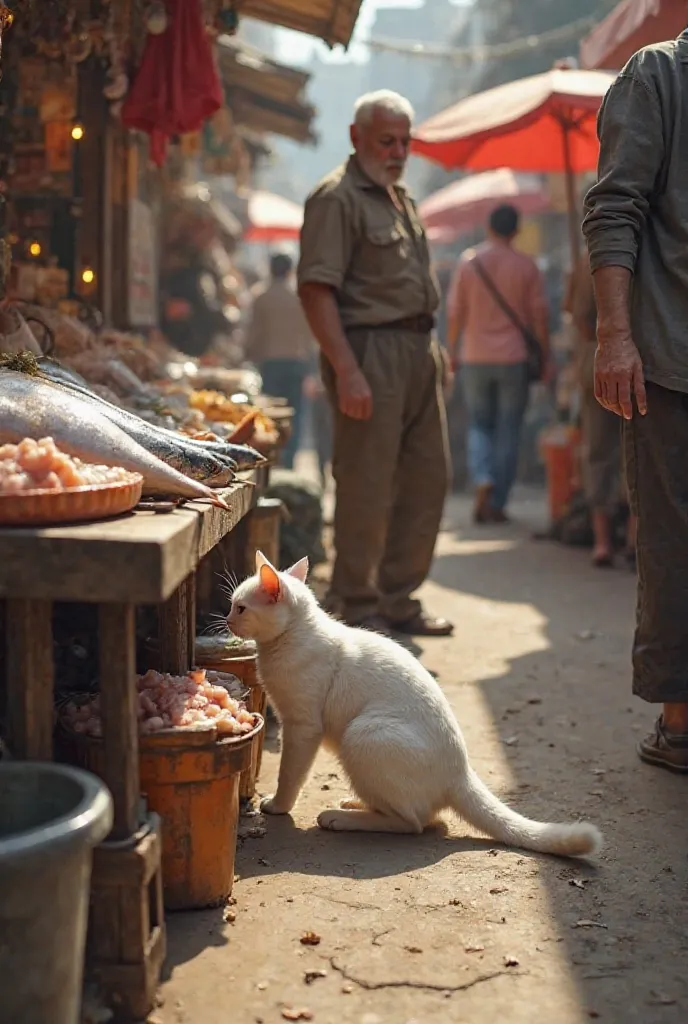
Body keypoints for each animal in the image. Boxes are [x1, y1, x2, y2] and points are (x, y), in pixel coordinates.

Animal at [227, 552, 602, 856]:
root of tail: (460, 772)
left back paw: (342, 817)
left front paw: (278, 806)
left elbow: (290, 774)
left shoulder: (302, 726)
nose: (227, 620)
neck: (292, 636)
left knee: (413, 823)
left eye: (240, 607)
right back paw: (357, 803)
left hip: (363, 734)